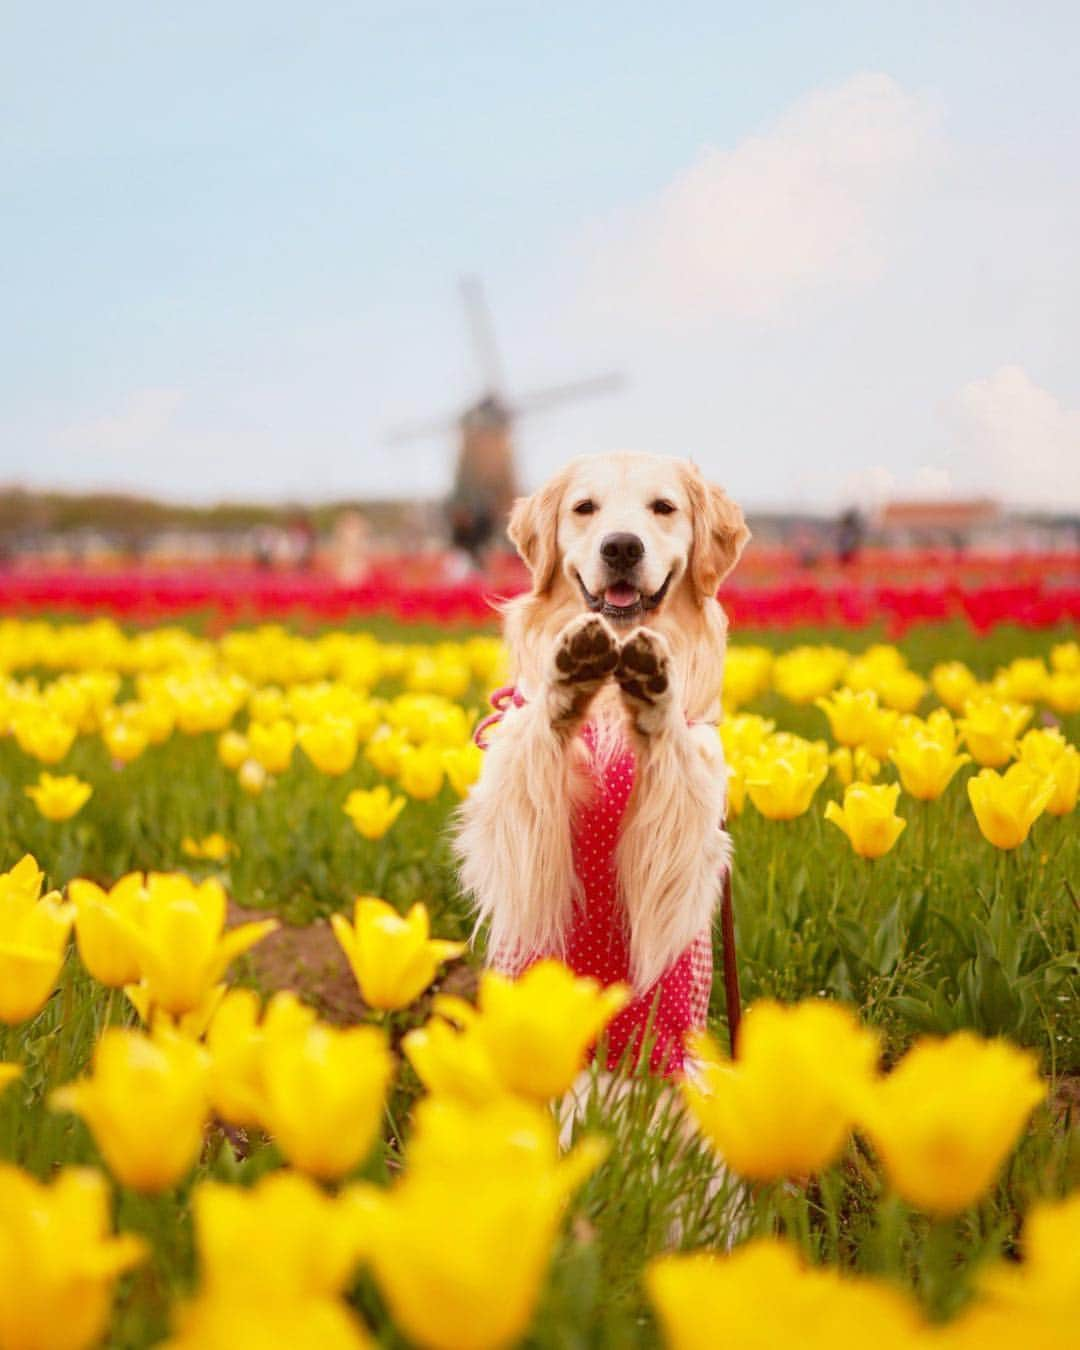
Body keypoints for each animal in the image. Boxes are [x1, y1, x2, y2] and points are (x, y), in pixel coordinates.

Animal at [456, 453, 750, 1074]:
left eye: (663, 508)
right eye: (584, 508)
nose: (621, 547)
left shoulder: (687, 843)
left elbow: (670, 762)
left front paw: (654, 685)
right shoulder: (518, 835)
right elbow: (541, 745)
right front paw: (566, 681)